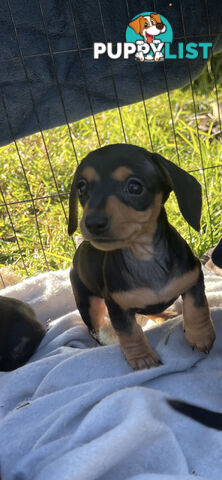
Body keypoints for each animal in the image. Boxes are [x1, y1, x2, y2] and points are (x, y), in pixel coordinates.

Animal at [68, 144, 215, 370]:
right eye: (82, 188)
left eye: (135, 187)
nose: (92, 223)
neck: (145, 255)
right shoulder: (117, 306)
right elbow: (129, 333)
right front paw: (142, 358)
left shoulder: (193, 280)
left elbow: (197, 308)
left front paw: (200, 336)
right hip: (87, 302)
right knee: (95, 330)